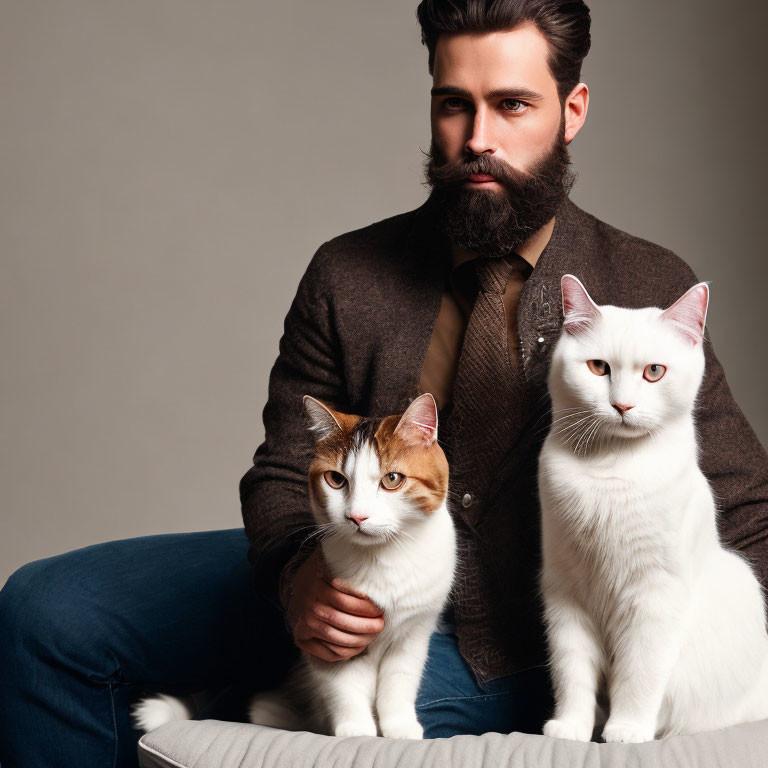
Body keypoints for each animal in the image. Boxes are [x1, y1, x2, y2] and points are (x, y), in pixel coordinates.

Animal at [132, 392, 456, 740]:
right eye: (336, 479)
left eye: (392, 479)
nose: (357, 516)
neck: (383, 556)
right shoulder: (330, 635)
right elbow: (343, 685)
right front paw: (357, 731)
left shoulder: (414, 632)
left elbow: (400, 680)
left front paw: (400, 728)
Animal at [536, 272, 768, 740]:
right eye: (598, 368)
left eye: (654, 372)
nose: (622, 405)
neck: (610, 467)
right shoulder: (566, 593)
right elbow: (572, 673)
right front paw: (571, 728)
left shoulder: (655, 594)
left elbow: (639, 673)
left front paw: (627, 729)